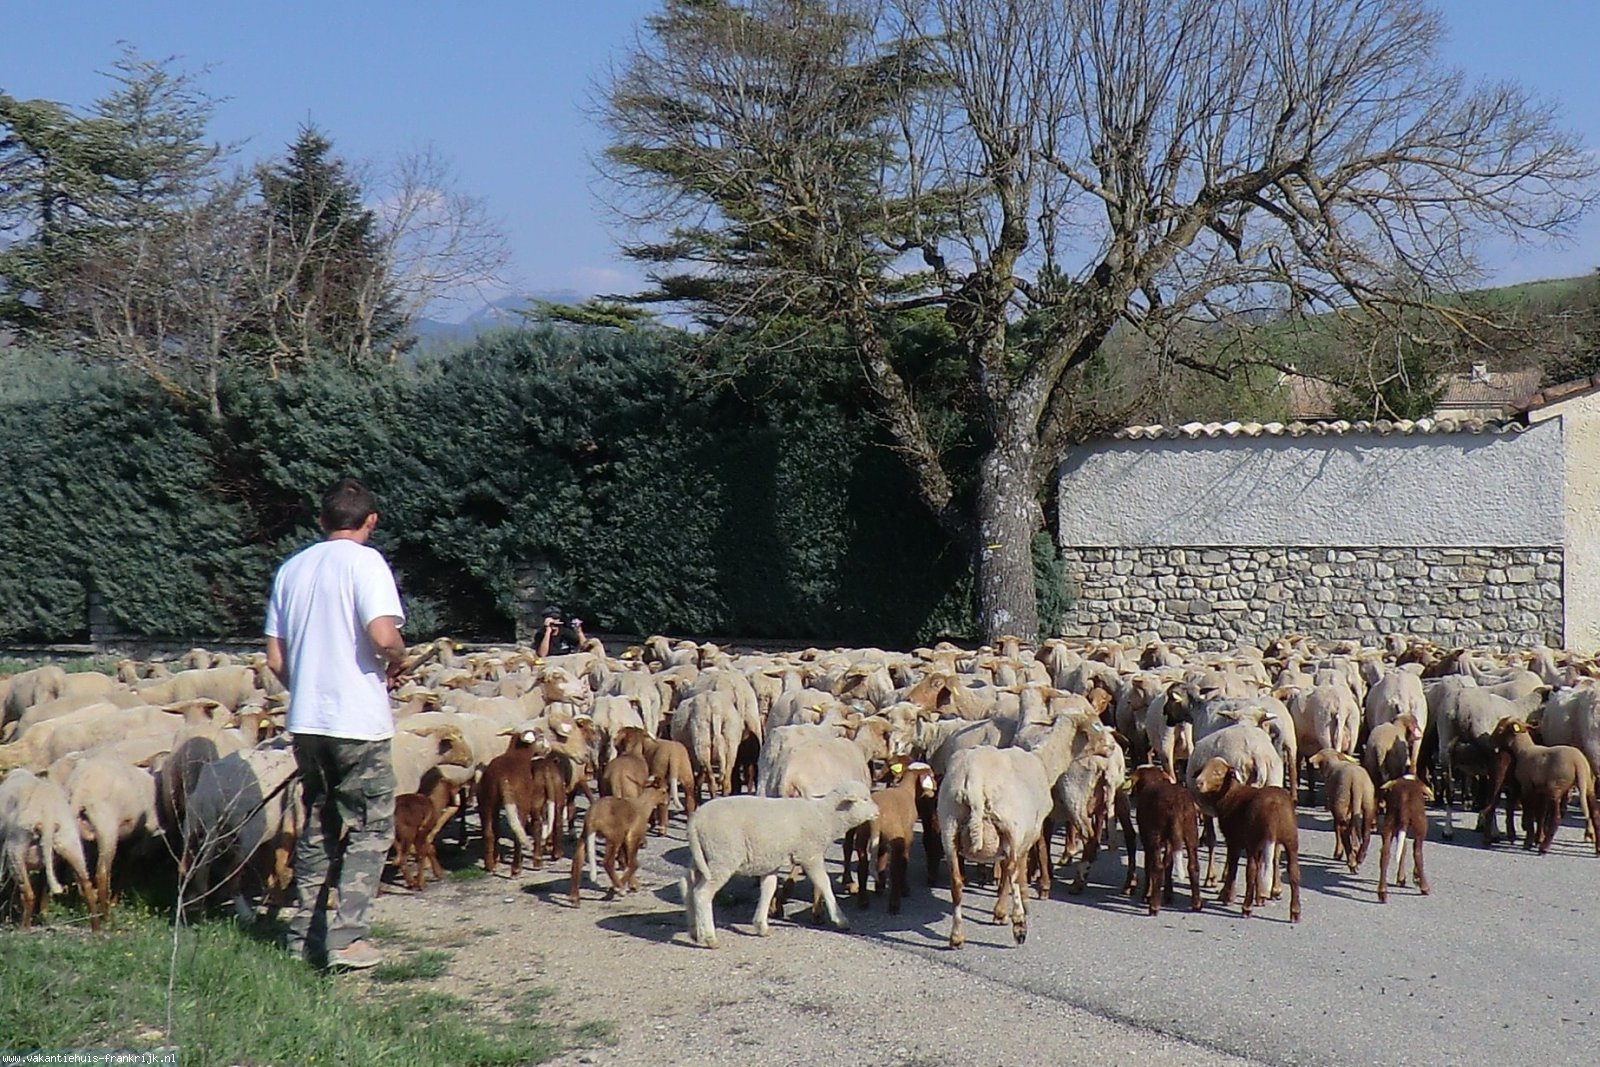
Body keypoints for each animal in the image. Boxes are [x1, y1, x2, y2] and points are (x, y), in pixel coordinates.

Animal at [0, 769, 99, 930]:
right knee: (87, 888)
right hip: (70, 845)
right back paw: (96, 928)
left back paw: (24, 929)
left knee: (28, 893)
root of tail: (48, 817)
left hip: (17, 847)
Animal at [681, 783, 879, 948]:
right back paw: (710, 938)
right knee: (702, 893)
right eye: (865, 799)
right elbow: (824, 883)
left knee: (688, 886)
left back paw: (694, 931)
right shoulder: (811, 855)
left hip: (703, 856)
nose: (878, 811)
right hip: (723, 855)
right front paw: (840, 919)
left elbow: (769, 888)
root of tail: (695, 820)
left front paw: (761, 925)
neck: (825, 817)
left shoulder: (771, 862)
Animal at [1126, 764, 1201, 916]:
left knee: (1157, 866)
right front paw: (1168, 894)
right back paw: (1196, 904)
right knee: (1193, 866)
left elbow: (1150, 866)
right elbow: (1169, 863)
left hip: (1154, 834)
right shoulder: (1170, 839)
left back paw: (1154, 906)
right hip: (1191, 831)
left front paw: (1147, 894)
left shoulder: (1147, 837)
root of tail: (1176, 804)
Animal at [1191, 757, 1301, 923]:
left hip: (1254, 840)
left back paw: (1246, 908)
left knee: (1251, 870)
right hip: (1290, 840)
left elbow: (1233, 866)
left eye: (1217, 772)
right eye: (1203, 769)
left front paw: (1228, 896)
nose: (1198, 783)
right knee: (1294, 872)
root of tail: (1275, 806)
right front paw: (1260, 897)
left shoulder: (1234, 839)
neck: (1230, 794)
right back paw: (1295, 912)